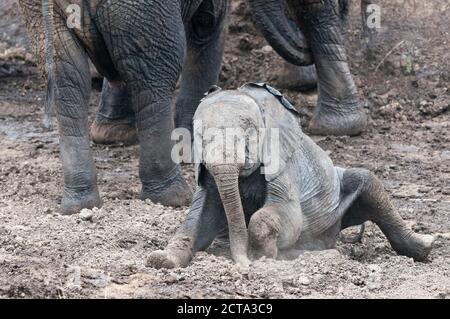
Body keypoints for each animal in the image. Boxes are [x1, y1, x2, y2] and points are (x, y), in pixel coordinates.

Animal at [17, 0, 229, 215]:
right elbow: (207, 24)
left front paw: (113, 135)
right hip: (144, 11)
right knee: (153, 76)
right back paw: (173, 197)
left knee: (69, 77)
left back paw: (79, 204)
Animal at [149, 83, 436, 270]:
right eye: (199, 137)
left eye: (249, 135)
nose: (243, 267)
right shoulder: (207, 179)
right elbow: (197, 219)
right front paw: (160, 260)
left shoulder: (282, 166)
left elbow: (285, 215)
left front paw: (265, 256)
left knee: (368, 182)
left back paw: (426, 246)